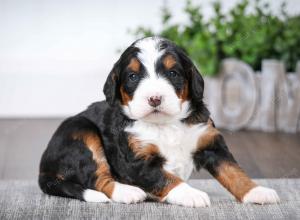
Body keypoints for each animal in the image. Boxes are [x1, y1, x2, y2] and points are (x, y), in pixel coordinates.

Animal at [38, 37, 280, 207]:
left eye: (173, 73)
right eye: (133, 76)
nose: (154, 98)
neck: (166, 123)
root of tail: (44, 169)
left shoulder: (210, 143)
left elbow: (233, 171)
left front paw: (256, 191)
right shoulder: (137, 160)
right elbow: (166, 178)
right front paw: (191, 194)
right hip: (81, 132)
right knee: (96, 177)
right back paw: (129, 192)